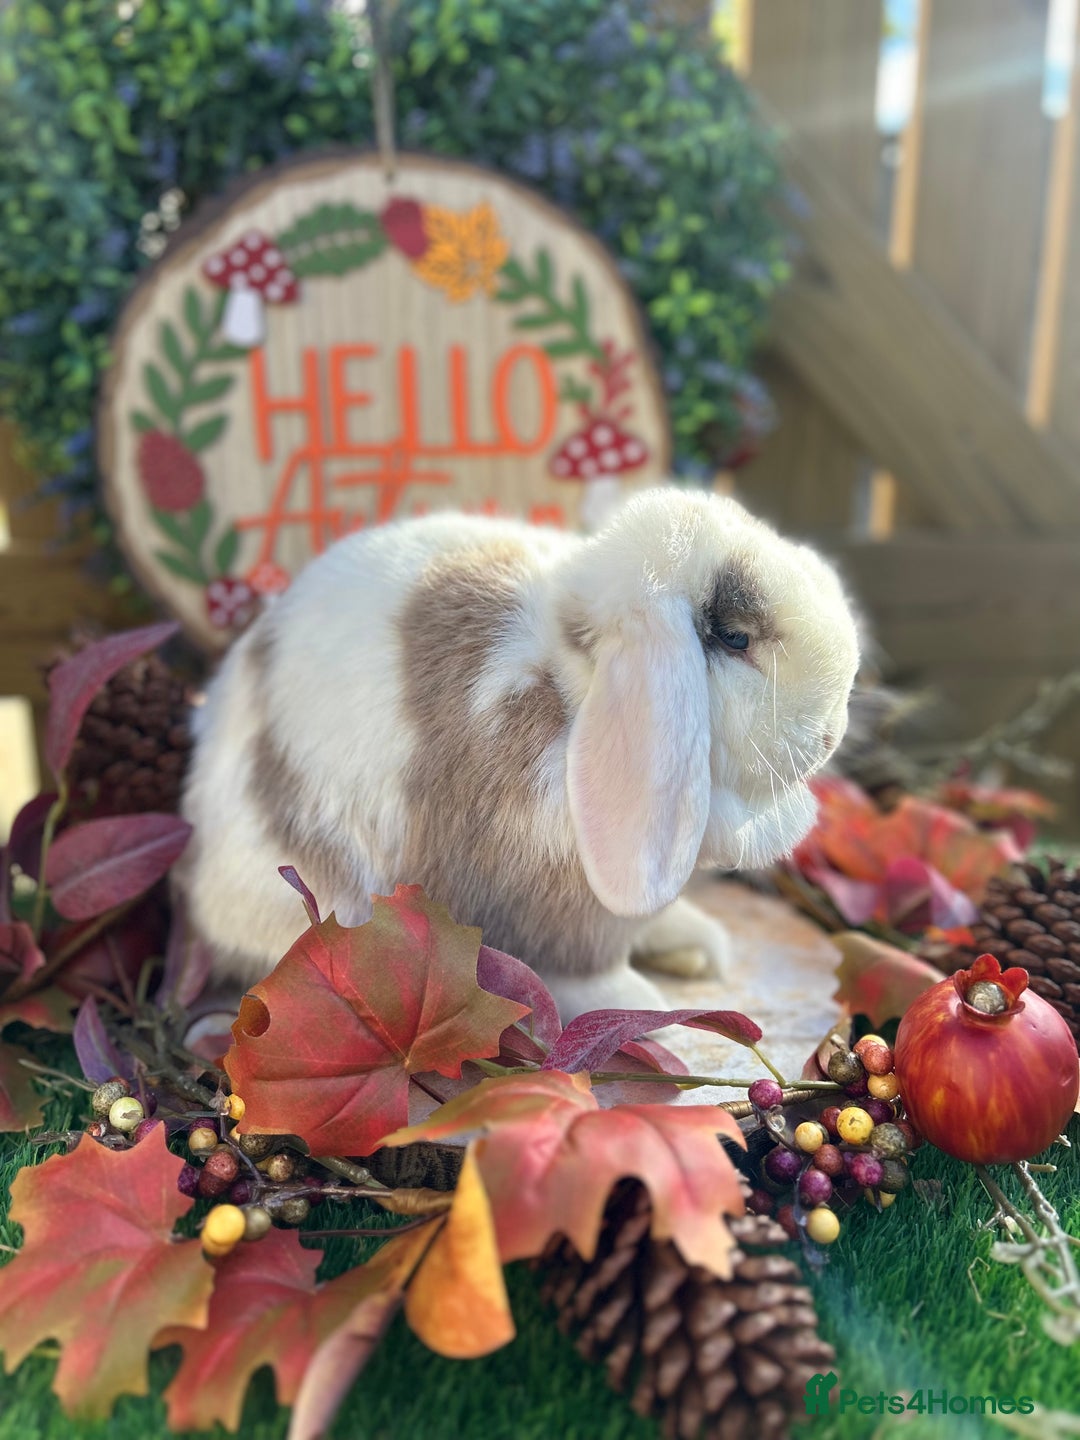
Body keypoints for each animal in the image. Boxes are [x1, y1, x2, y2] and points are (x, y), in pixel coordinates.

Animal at [178, 487, 860, 1022]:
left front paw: (696, 946)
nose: (832, 733)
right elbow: (584, 971)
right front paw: (644, 1010)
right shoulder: (555, 903)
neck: (569, 694)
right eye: (735, 638)